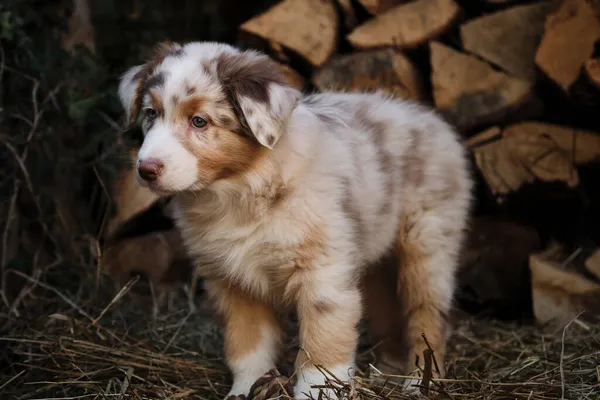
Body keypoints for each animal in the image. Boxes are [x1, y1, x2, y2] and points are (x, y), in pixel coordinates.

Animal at [117, 41, 474, 400]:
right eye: (151, 114)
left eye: (200, 121)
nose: (146, 169)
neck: (241, 192)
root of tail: (432, 119)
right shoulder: (233, 281)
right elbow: (247, 345)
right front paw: (245, 389)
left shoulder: (324, 272)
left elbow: (322, 345)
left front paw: (317, 390)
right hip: (377, 257)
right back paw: (388, 370)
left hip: (428, 245)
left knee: (428, 318)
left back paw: (419, 382)